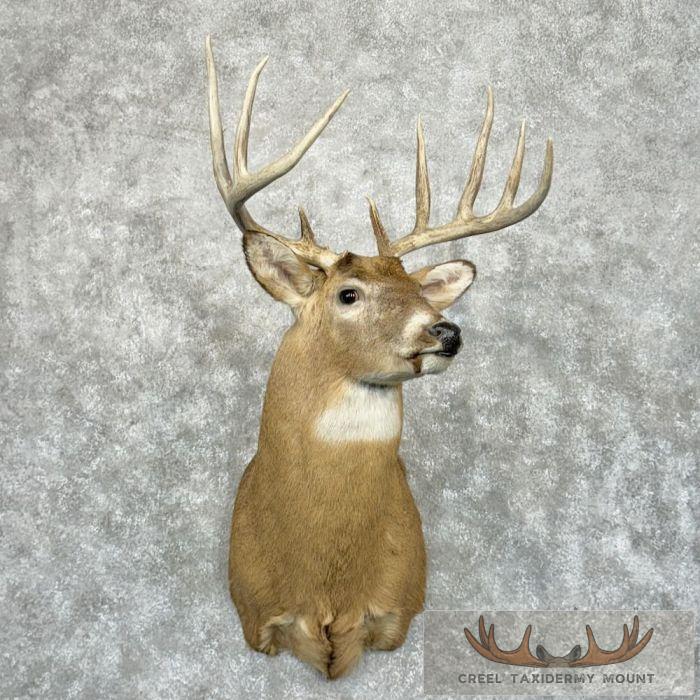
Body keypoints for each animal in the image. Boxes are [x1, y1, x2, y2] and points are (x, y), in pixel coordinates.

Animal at [204, 36, 553, 679]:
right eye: (348, 294)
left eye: (420, 290)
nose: (446, 330)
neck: (326, 586)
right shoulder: (255, 616)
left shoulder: (400, 606)